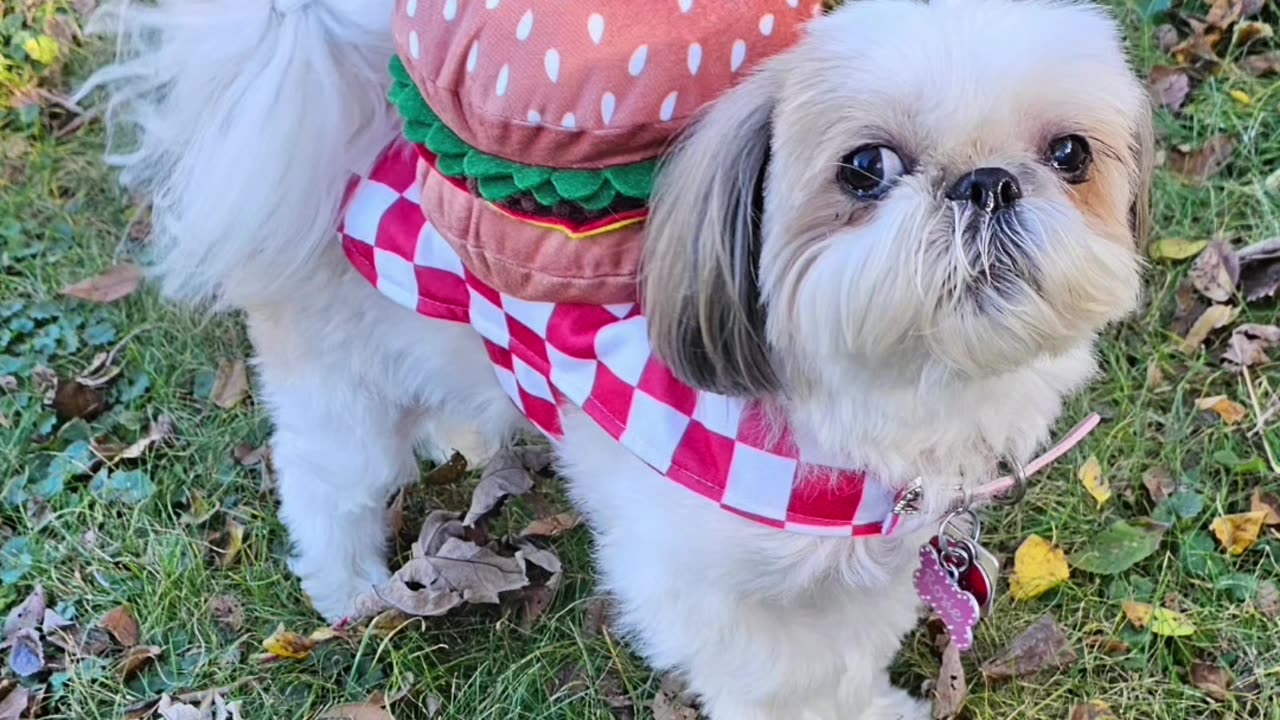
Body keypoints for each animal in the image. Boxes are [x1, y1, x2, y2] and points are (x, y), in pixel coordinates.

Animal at [85, 0, 1157, 712]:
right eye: (866, 167)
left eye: (1070, 155)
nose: (987, 182)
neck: (867, 407)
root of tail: (346, 127)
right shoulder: (706, 589)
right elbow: (790, 681)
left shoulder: (867, 559)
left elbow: (853, 648)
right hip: (340, 391)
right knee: (326, 485)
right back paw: (350, 589)